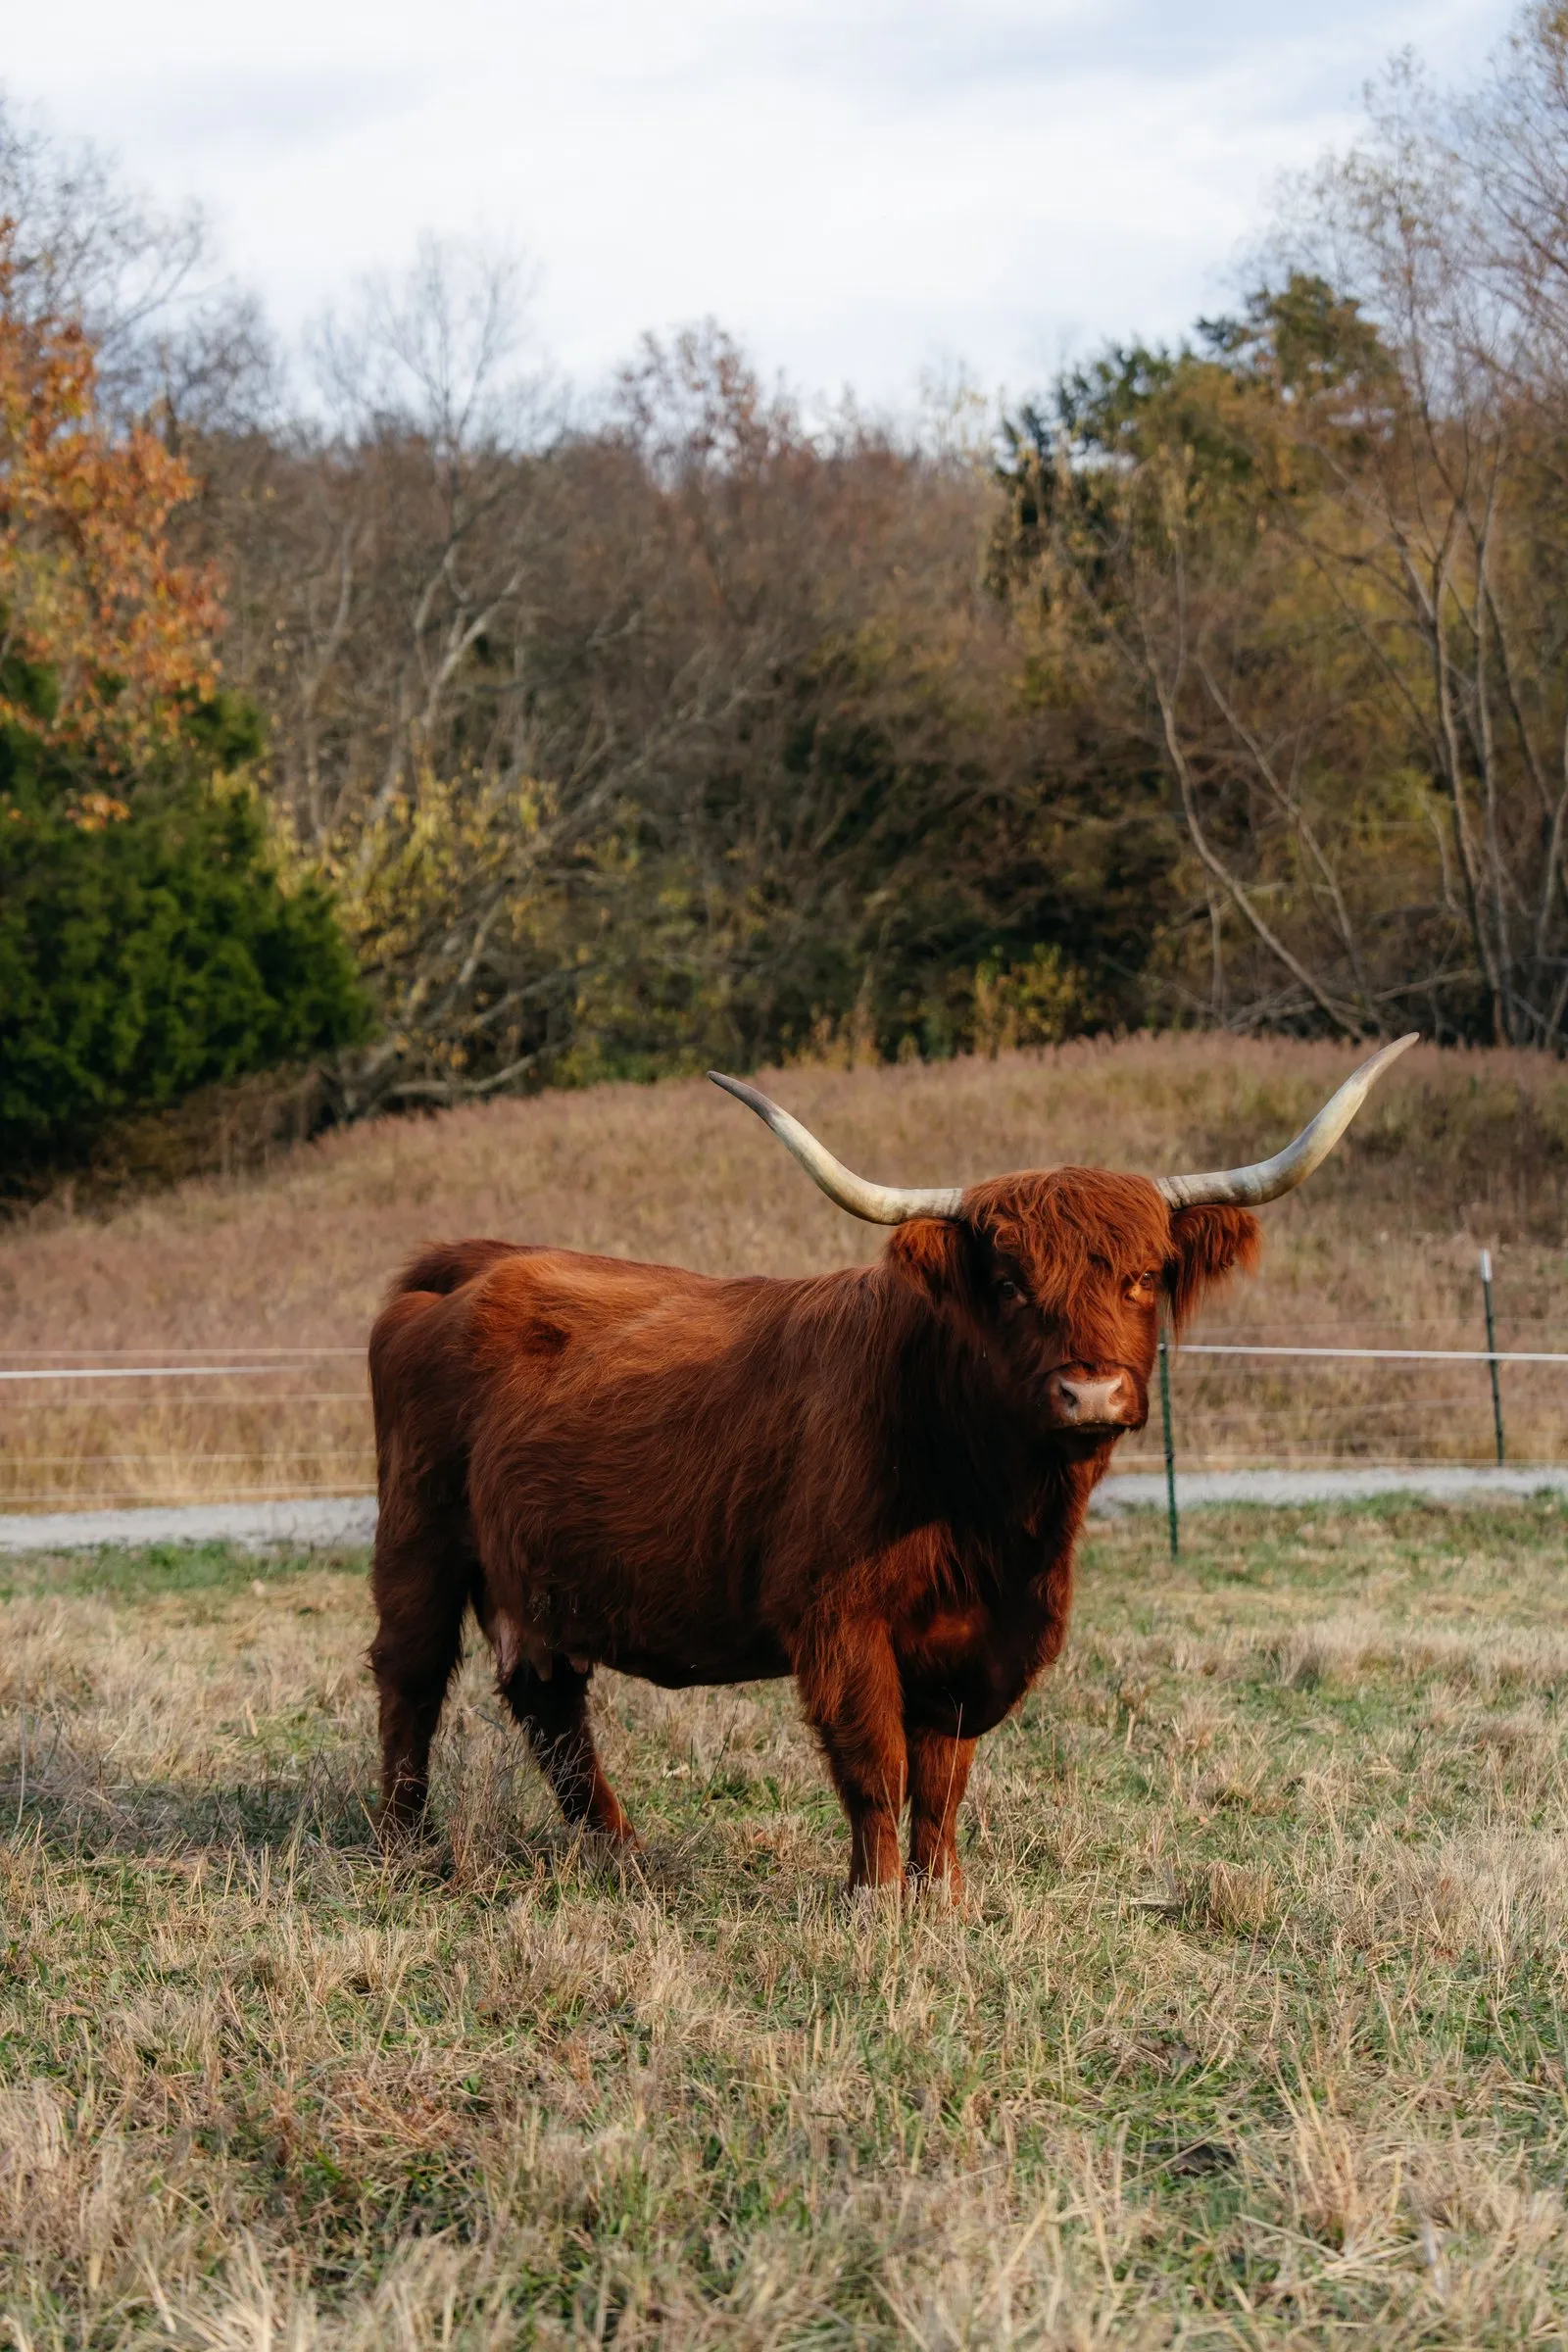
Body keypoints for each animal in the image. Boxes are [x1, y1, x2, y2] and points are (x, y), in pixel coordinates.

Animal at [367, 1036, 1414, 1894]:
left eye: (1144, 1275)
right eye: (1008, 1281)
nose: (1090, 1393)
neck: (996, 1517)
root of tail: (478, 1262)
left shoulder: (977, 1641)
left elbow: (943, 1777)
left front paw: (938, 1893)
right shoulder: (839, 1618)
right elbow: (876, 1763)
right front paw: (872, 1900)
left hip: (533, 1577)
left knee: (549, 1704)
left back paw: (622, 1856)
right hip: (419, 1540)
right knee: (410, 1679)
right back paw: (407, 1846)